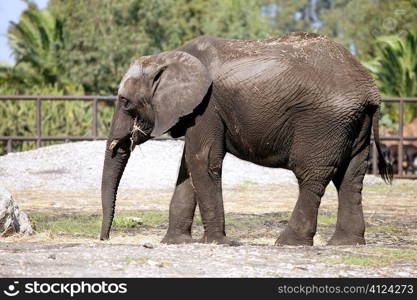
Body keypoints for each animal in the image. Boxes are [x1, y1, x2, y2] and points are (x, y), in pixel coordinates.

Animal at [99, 32, 392, 246]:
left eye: (125, 103)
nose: (104, 238)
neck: (168, 57)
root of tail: (371, 89)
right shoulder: (197, 111)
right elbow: (187, 167)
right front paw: (174, 243)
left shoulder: (207, 106)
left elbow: (202, 160)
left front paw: (217, 243)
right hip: (354, 124)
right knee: (351, 178)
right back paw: (346, 243)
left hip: (324, 122)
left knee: (312, 176)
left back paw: (288, 243)